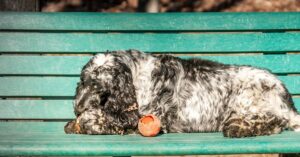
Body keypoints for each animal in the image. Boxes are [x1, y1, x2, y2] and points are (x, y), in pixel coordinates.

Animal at [64, 49, 298, 137]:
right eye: (83, 82)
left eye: (100, 89)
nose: (78, 108)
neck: (135, 75)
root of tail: (286, 97)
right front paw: (75, 122)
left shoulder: (148, 119)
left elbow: (103, 120)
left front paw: (86, 120)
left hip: (246, 99)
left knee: (276, 121)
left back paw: (239, 128)